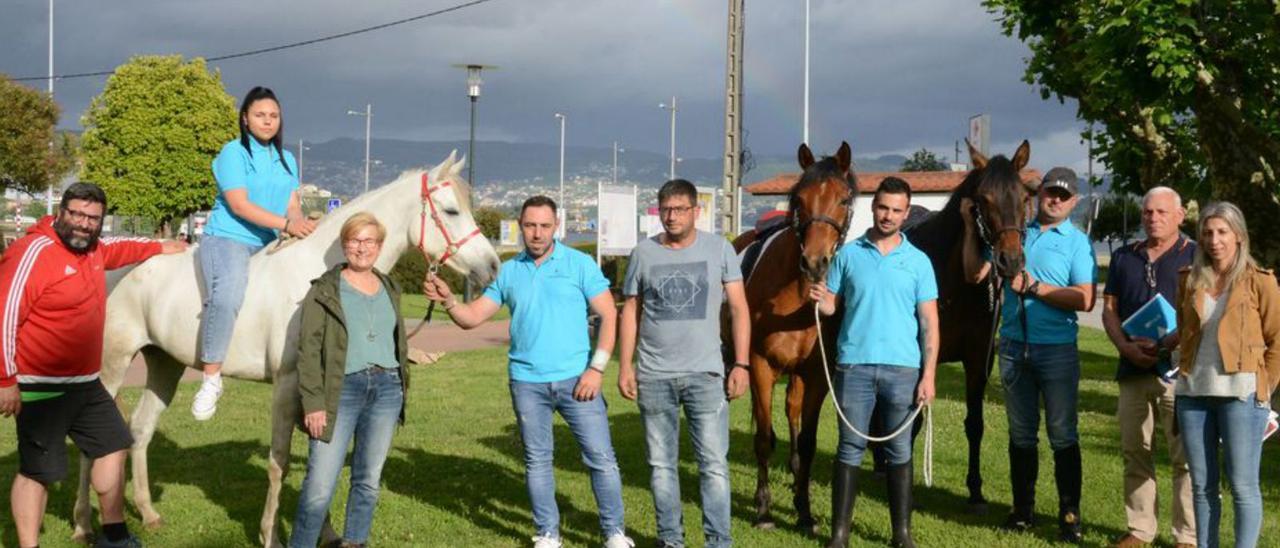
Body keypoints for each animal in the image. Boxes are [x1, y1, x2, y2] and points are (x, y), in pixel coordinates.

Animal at [68, 151, 499, 545]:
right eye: (451, 210)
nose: (493, 266)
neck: (316, 278)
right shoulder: (289, 385)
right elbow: (280, 462)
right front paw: (270, 535)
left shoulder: (322, 390)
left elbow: (319, 460)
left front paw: (326, 531)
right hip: (113, 365)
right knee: (92, 445)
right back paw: (82, 524)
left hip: (165, 365)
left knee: (140, 430)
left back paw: (148, 513)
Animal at [732, 140, 860, 530]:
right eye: (799, 199)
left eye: (844, 199)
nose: (815, 263)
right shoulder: (759, 365)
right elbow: (762, 438)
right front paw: (763, 510)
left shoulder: (816, 375)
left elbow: (806, 440)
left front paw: (803, 510)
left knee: (791, 411)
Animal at [906, 141, 1034, 514]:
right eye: (984, 198)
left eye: (1024, 196)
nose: (1010, 261)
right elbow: (913, 421)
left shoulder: (980, 359)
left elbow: (975, 424)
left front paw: (975, 490)